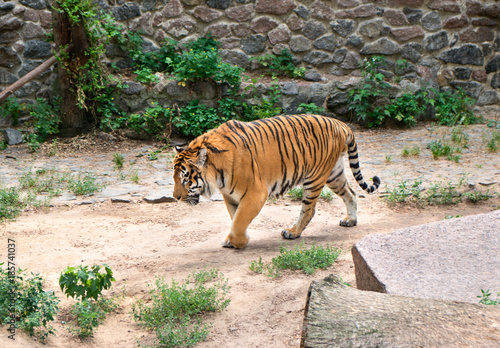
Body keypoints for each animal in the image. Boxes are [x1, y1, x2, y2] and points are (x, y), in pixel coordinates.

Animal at [173, 113, 378, 247]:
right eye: (174, 177)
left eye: (185, 179)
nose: (175, 197)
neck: (216, 173)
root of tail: (340, 123)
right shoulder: (230, 196)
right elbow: (234, 218)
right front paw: (231, 239)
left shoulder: (255, 194)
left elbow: (238, 223)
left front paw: (239, 241)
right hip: (334, 175)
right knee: (351, 194)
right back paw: (351, 220)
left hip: (315, 177)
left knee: (309, 209)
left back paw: (292, 232)